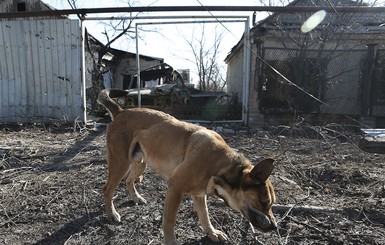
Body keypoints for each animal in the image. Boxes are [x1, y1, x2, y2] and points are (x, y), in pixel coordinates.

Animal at [97, 89, 276, 244]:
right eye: (264, 202)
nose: (274, 227)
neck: (221, 165)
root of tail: (121, 112)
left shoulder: (199, 194)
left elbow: (205, 216)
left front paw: (212, 233)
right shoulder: (175, 189)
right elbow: (169, 222)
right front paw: (171, 242)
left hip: (140, 162)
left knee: (128, 180)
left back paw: (136, 198)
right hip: (120, 162)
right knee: (107, 189)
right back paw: (112, 214)